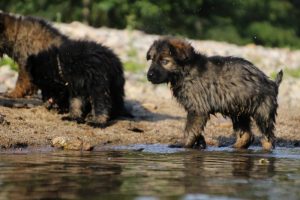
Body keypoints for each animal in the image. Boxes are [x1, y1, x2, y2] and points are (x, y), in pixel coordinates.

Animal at [146, 37, 282, 150]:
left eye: (164, 61)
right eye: (152, 59)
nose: (149, 75)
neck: (185, 70)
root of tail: (272, 84)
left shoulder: (197, 108)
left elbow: (190, 129)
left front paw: (184, 144)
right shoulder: (197, 109)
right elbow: (196, 129)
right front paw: (199, 143)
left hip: (262, 112)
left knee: (268, 137)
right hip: (239, 112)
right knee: (247, 134)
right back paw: (235, 147)